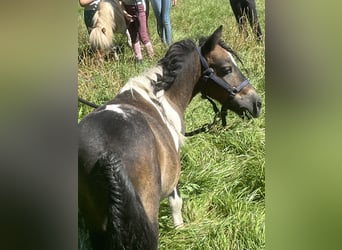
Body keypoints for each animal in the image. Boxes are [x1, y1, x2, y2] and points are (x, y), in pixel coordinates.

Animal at [79, 25, 262, 250]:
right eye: (227, 68)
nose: (256, 102)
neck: (160, 97)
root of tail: (108, 153)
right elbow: (176, 203)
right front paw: (181, 230)